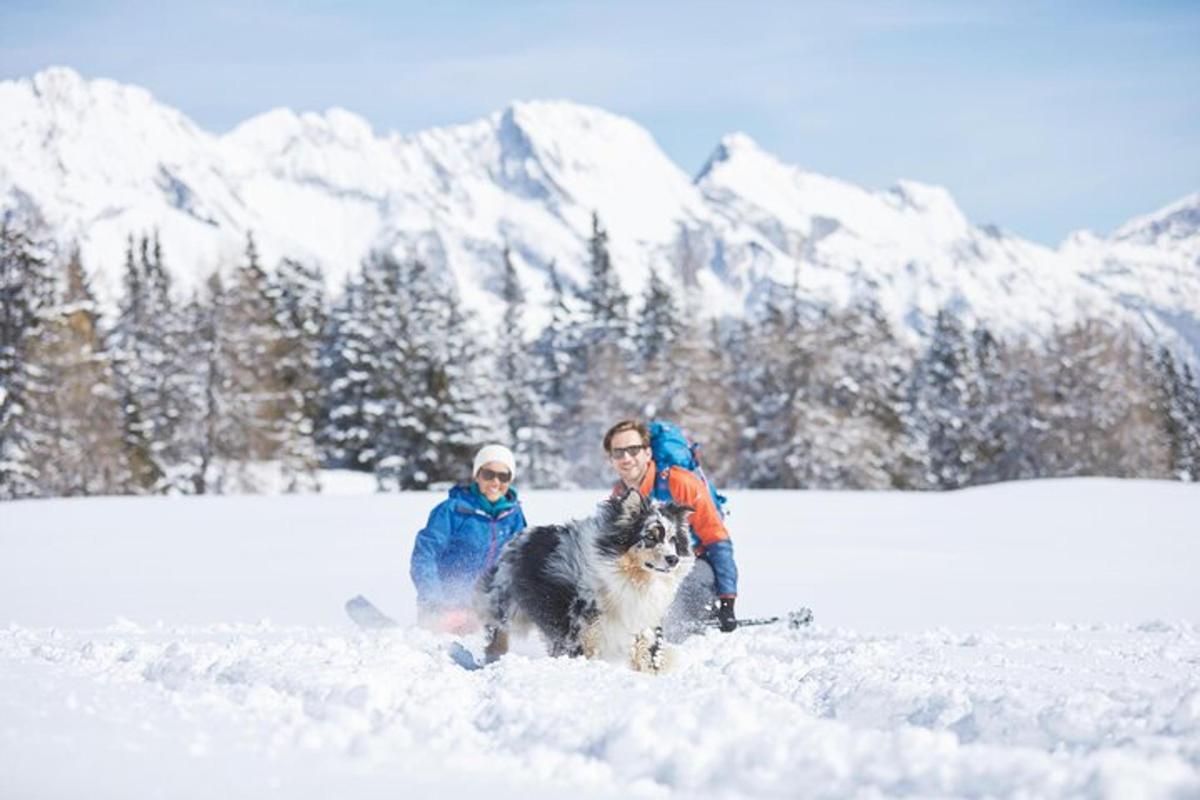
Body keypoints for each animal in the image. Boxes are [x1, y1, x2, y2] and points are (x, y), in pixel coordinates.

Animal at [470, 491, 696, 671]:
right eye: (649, 537)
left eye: (673, 540)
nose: (673, 559)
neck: (629, 578)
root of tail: (518, 537)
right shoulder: (581, 625)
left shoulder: (641, 616)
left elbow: (648, 648)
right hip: (506, 604)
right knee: (497, 631)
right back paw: (493, 658)